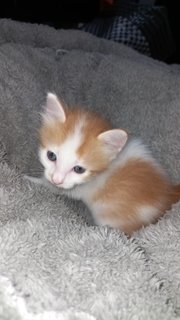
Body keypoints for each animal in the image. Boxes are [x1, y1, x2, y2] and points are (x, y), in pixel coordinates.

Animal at [37, 92, 180, 235]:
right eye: (51, 156)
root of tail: (166, 195)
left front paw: (34, 180)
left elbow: (55, 188)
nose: (56, 179)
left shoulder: (81, 187)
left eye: (79, 169)